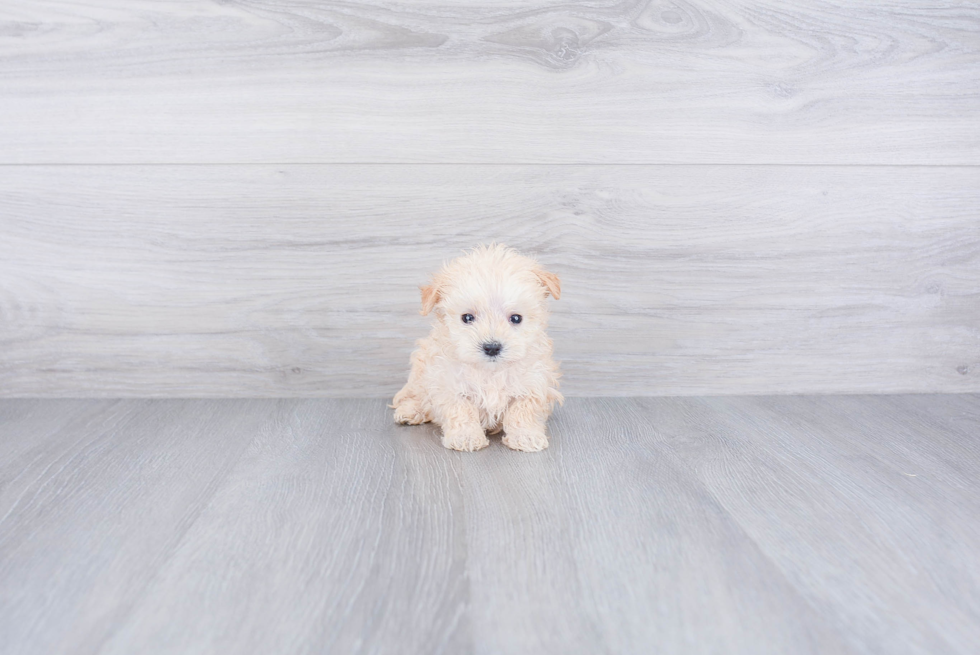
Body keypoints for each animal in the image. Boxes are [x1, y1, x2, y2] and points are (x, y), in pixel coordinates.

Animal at [392, 243, 564, 454]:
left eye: (516, 318)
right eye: (467, 317)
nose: (492, 347)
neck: (490, 371)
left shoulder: (533, 382)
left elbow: (523, 411)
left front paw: (526, 436)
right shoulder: (449, 383)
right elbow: (461, 410)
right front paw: (465, 436)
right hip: (420, 373)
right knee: (418, 395)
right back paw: (410, 411)